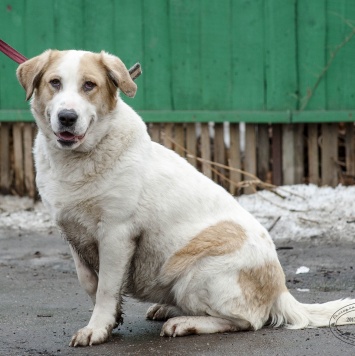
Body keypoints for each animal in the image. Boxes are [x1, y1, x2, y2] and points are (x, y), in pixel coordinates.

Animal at [17, 49, 355, 344]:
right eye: (55, 83)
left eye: (89, 85)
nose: (67, 117)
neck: (78, 161)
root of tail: (280, 289)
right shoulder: (73, 234)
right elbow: (90, 282)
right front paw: (112, 320)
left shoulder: (116, 234)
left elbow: (106, 288)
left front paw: (98, 329)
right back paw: (168, 310)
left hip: (195, 274)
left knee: (247, 321)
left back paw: (184, 323)